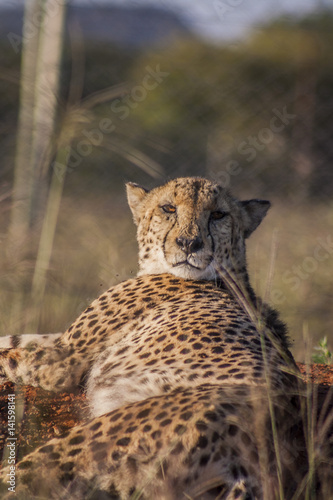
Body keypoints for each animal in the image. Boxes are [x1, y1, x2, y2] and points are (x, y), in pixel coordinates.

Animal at [0, 178, 306, 498]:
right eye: (168, 208)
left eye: (218, 215)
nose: (189, 243)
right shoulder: (59, 346)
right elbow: (13, 339)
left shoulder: (60, 362)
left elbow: (9, 355)